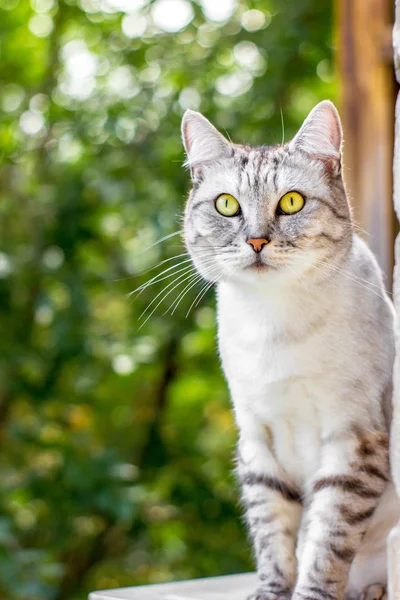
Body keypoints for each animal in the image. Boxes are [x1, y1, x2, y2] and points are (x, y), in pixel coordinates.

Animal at [180, 101, 400, 596]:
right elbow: (273, 537)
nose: (256, 240)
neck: (276, 326)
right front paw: (270, 592)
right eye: (227, 205)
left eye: (292, 202)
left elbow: (327, 544)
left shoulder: (353, 439)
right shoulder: (257, 439)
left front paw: (312, 593)